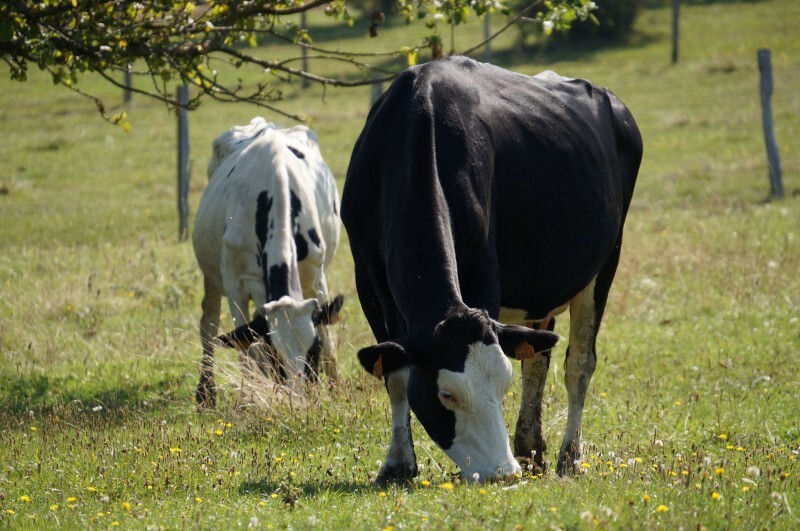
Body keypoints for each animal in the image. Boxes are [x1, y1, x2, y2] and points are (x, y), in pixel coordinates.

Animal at [193, 117, 344, 408]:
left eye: (314, 350)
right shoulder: (236, 285)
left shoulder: (315, 276)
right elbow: (244, 346)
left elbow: (330, 337)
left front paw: (334, 390)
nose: (300, 402)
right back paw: (206, 392)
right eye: (278, 354)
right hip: (212, 277)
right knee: (210, 323)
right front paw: (250, 397)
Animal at [340, 56, 642, 484]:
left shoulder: (482, 264)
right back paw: (531, 451)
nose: (504, 474)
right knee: (538, 357)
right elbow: (395, 372)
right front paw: (397, 465)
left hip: (606, 260)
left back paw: (569, 457)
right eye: (446, 394)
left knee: (579, 363)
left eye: (502, 386)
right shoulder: (366, 277)